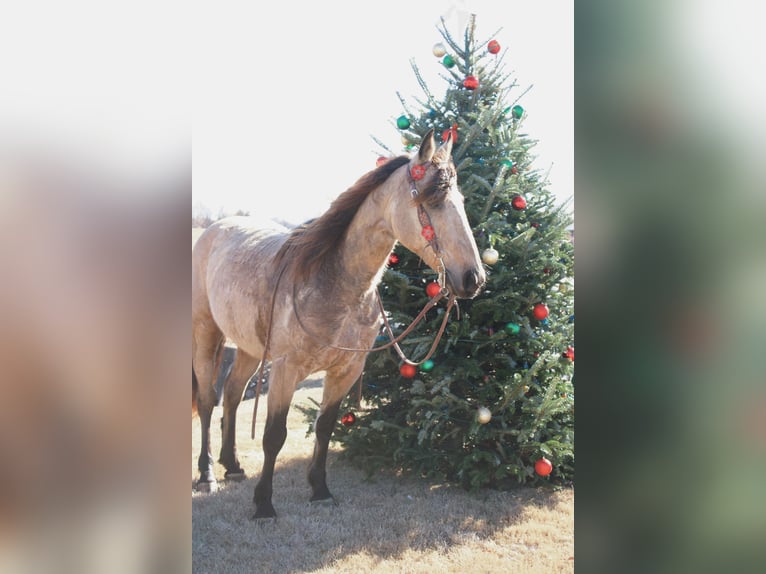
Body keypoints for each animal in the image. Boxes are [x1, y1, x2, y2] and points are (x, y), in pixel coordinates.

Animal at [195, 130, 488, 520]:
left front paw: (320, 490)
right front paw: (264, 505)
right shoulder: (285, 370)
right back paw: (207, 474)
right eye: (435, 201)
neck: (334, 281)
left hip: (247, 348)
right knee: (207, 401)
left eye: (461, 200)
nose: (473, 278)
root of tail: (212, 230)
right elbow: (275, 435)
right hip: (205, 334)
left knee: (231, 394)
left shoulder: (346, 370)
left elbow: (324, 427)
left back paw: (233, 465)